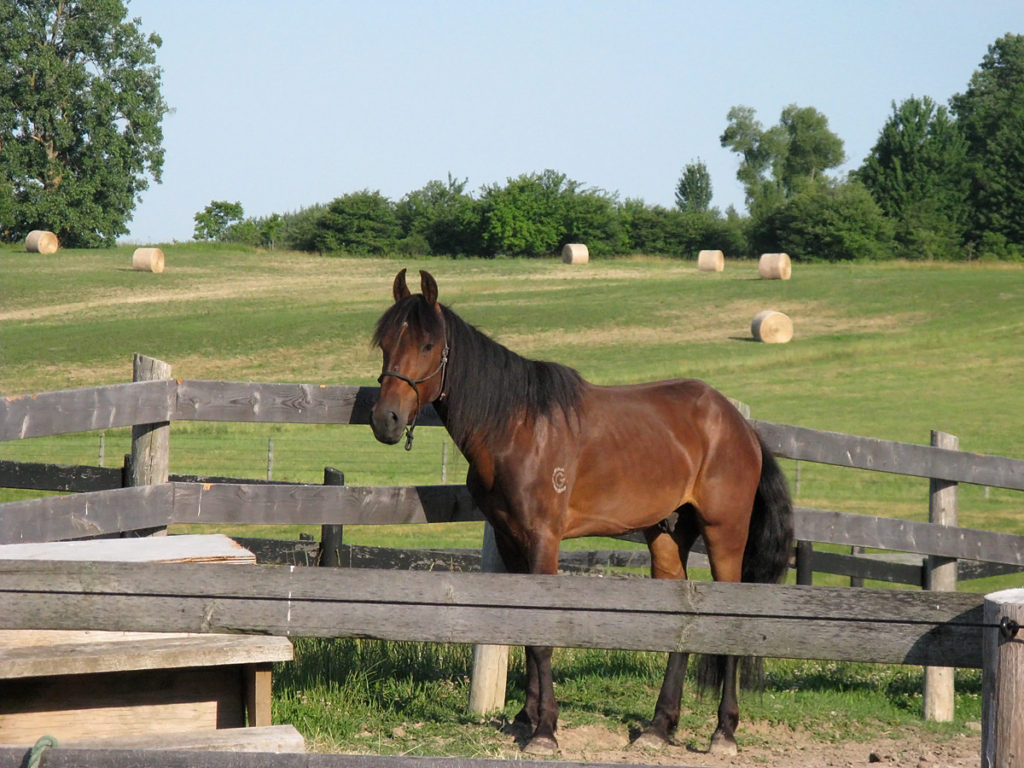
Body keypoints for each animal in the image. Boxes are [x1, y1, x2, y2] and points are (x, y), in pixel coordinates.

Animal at [372, 270, 794, 757]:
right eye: (385, 343)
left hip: (724, 534)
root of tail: (740, 426)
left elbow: (544, 637)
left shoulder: (543, 540)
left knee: (732, 624)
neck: (517, 425)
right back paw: (658, 727)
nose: (385, 419)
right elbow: (526, 631)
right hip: (668, 536)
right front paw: (526, 717)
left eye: (427, 345)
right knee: (678, 625)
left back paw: (723, 732)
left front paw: (545, 730)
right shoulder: (510, 540)